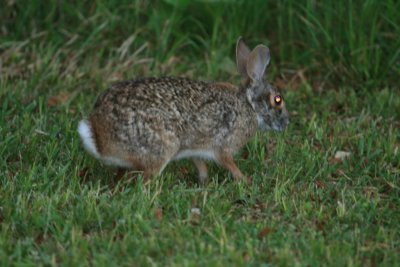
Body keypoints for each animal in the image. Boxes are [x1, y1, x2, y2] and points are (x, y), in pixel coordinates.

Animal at [78, 37, 290, 184]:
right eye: (277, 100)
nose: (287, 123)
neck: (249, 105)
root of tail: (99, 136)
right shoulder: (223, 146)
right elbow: (229, 164)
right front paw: (246, 181)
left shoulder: (195, 148)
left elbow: (200, 164)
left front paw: (204, 182)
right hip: (162, 147)